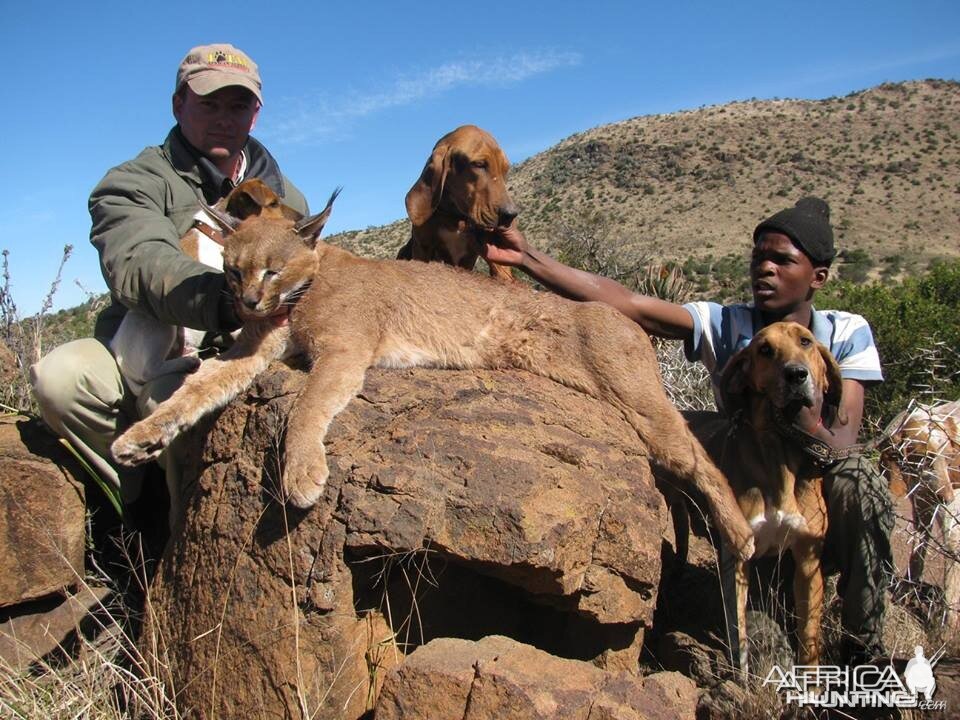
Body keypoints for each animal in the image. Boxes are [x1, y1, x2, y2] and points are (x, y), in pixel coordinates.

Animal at [396, 125, 520, 280]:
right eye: (479, 164)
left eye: (505, 169)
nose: (510, 215)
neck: (454, 216)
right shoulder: (422, 248)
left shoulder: (495, 259)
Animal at [692, 320, 844, 668]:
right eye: (765, 350)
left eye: (806, 341)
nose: (796, 375)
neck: (778, 450)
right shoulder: (737, 556)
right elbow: (738, 630)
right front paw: (742, 675)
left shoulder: (808, 560)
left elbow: (809, 639)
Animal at [880, 396, 956, 628]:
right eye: (924, 458)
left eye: (949, 457)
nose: (947, 497)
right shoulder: (921, 497)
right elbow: (921, 536)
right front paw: (905, 591)